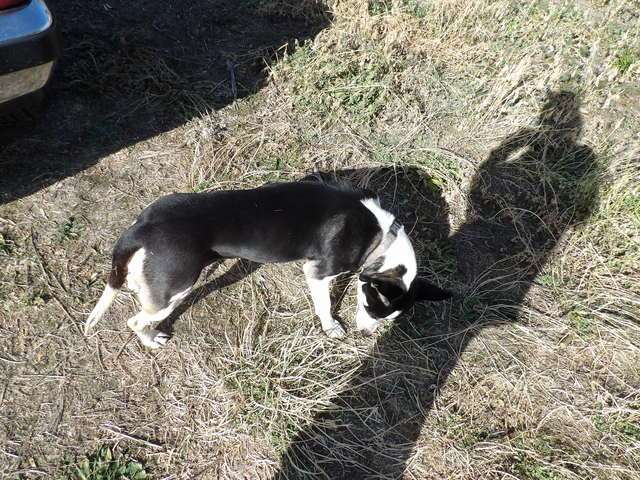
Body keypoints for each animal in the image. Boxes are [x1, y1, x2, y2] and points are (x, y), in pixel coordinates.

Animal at [84, 180, 451, 348]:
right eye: (370, 306)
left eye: (387, 317)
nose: (366, 334)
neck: (380, 236)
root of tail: (142, 229)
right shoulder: (317, 273)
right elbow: (324, 306)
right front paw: (331, 327)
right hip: (173, 291)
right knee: (135, 320)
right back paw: (151, 340)